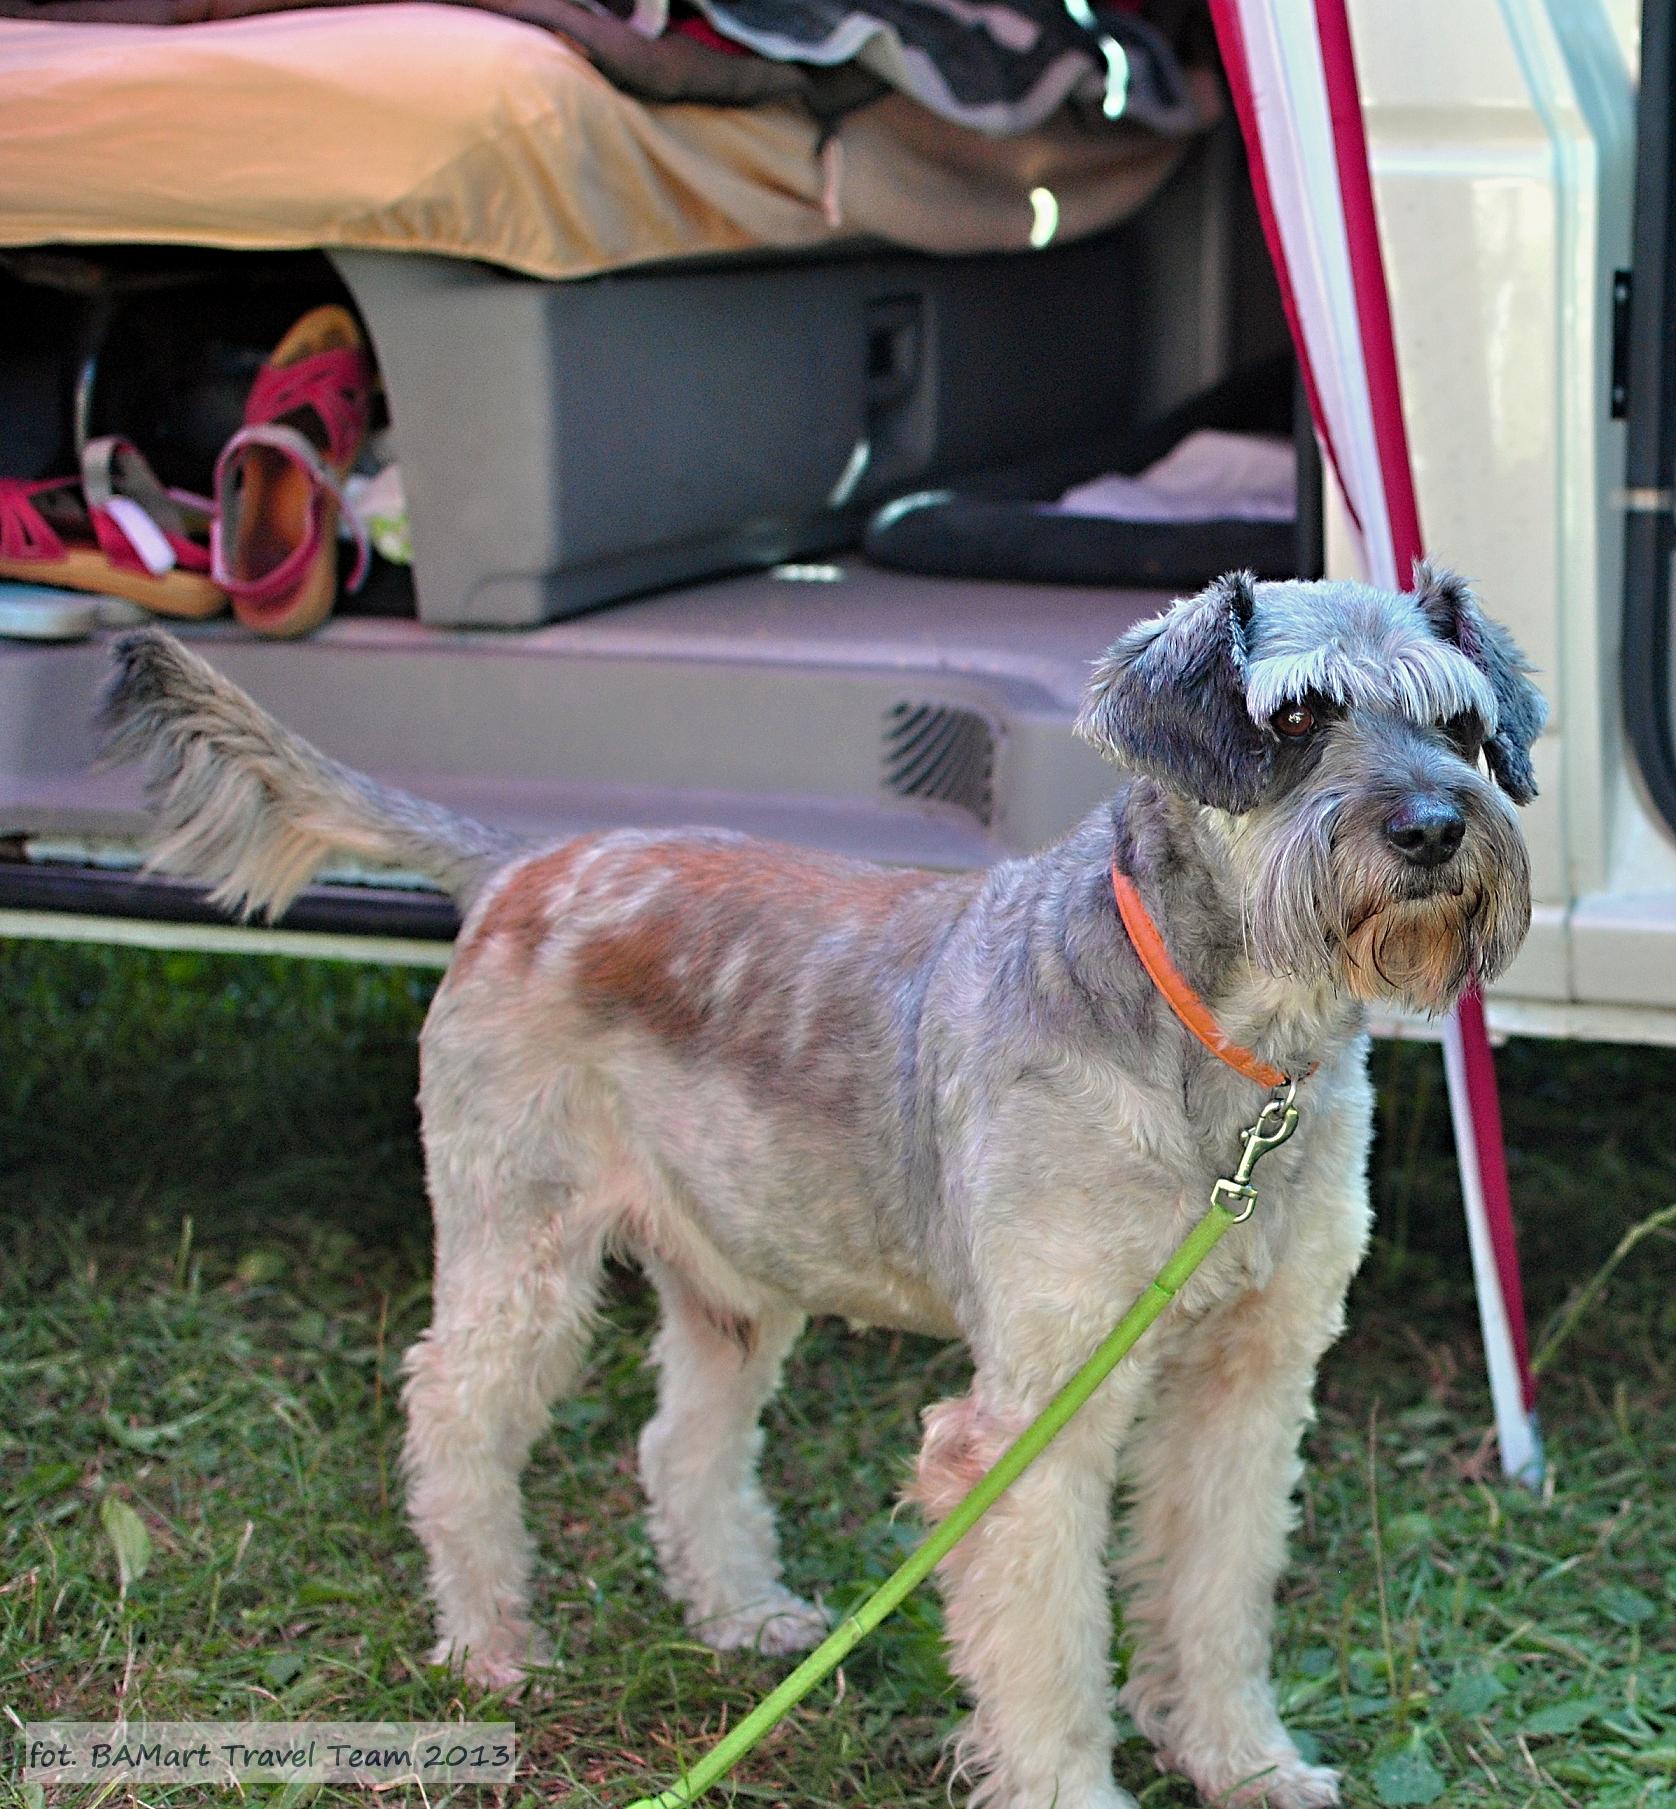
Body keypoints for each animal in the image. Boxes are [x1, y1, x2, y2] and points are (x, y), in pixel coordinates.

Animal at [101, 557, 1549, 1801]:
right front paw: (1074, 1788)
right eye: (1296, 714)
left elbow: (1214, 1601)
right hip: (520, 1260)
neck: (1230, 1060)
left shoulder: (1247, 1390)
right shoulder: (1033, 1415)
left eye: (1459, 724)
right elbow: (1050, 1656)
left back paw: (741, 1613)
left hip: (735, 1288)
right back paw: (487, 1641)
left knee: (678, 1446)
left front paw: (1243, 1765)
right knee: (452, 1418)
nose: (1433, 829)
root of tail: (524, 865)